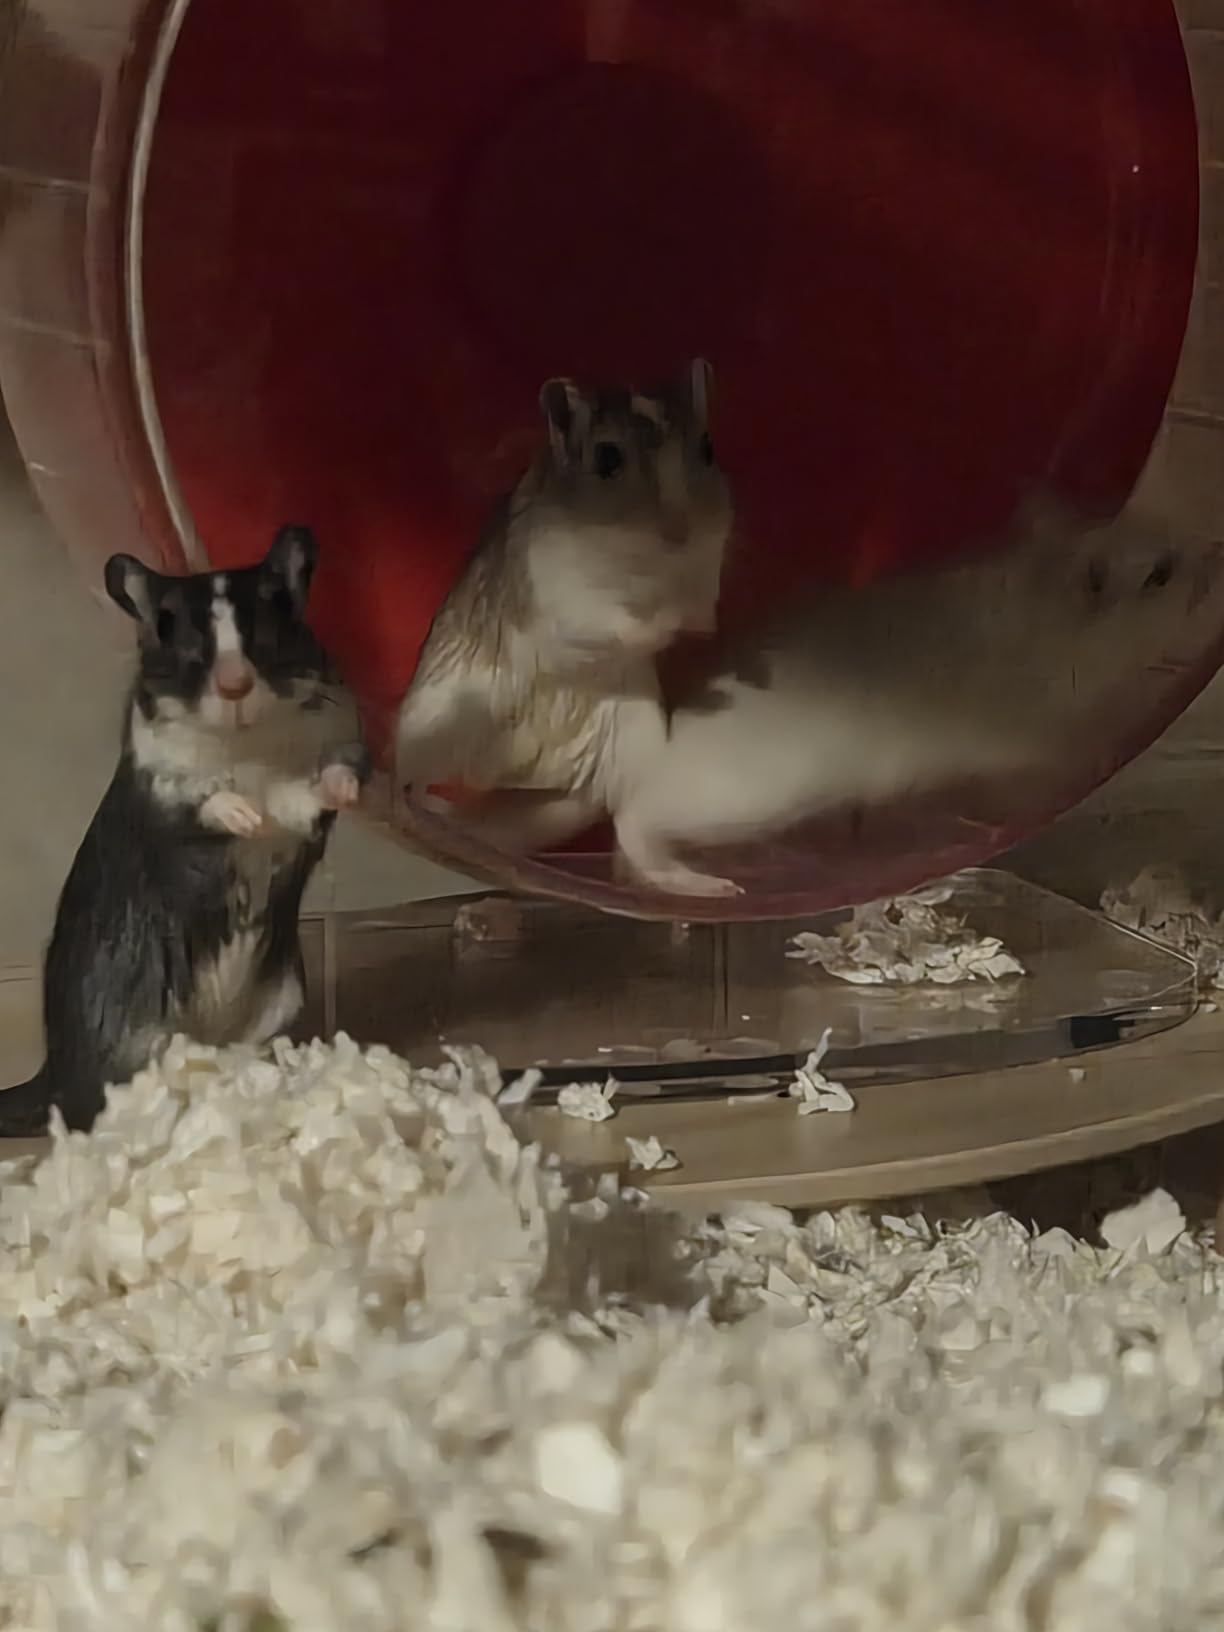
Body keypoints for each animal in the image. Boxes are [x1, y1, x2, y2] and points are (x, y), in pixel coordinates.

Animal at [0, 524, 370, 1137]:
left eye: (275, 613)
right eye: (172, 628)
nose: (235, 684)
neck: (247, 745)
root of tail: (50, 1075)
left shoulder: (340, 741)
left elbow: (326, 784)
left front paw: (334, 796)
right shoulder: (162, 789)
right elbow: (206, 801)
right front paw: (248, 818)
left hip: (282, 1004)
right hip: (134, 1043)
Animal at [394, 359, 739, 897]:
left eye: (707, 447)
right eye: (607, 458)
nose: (679, 532)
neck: (644, 568)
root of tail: (526, 769)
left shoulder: (707, 570)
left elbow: (701, 607)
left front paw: (697, 627)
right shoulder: (564, 595)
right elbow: (615, 624)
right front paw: (666, 624)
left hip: (635, 750)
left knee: (633, 836)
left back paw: (707, 886)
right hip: (430, 723)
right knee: (409, 781)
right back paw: (409, 807)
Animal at [610, 488, 1224, 869]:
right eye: (1161, 574)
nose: (1216, 557)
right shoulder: (1037, 736)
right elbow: (1082, 748)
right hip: (745, 798)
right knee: (634, 822)